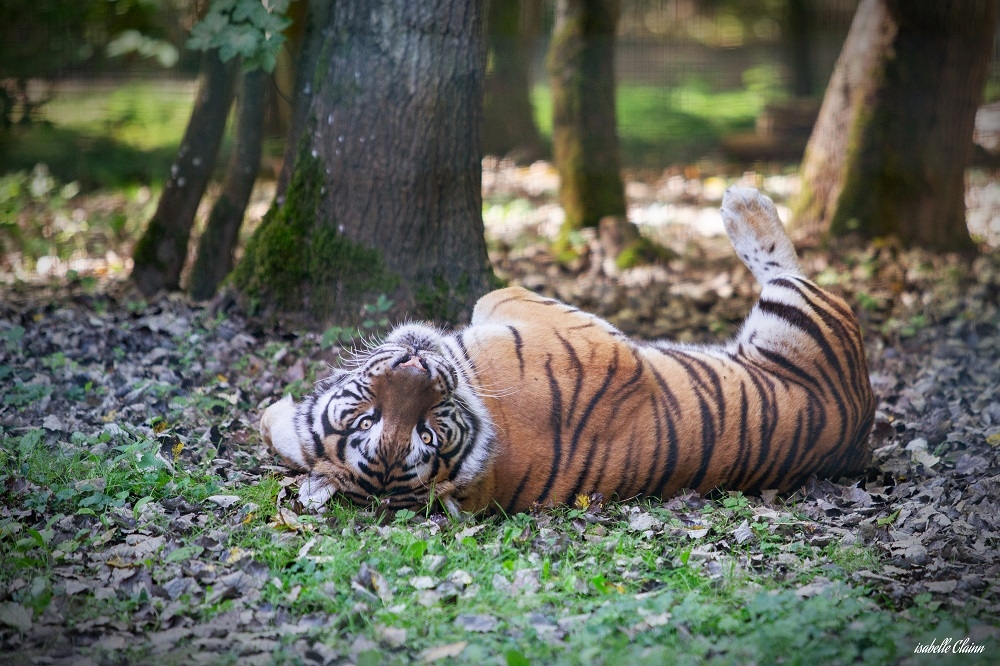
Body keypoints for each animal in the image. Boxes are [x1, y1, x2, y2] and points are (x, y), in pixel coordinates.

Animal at [260, 187, 876, 515]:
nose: (416, 363)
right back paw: (743, 205)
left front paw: (272, 418)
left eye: (424, 432)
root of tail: (864, 425)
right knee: (786, 263)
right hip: (801, 311)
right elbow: (497, 296)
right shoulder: (598, 343)